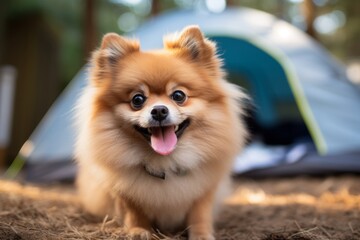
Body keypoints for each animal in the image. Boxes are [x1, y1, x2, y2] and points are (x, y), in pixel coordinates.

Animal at [75, 25, 249, 239]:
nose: (159, 110)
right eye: (137, 100)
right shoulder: (125, 192)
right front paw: (138, 230)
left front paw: (201, 233)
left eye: (178, 96)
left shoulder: (204, 189)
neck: (166, 162)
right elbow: (134, 212)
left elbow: (199, 213)